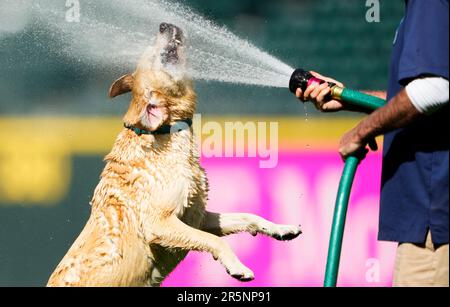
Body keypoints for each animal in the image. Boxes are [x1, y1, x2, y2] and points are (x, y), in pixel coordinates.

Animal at [46, 22, 302, 288]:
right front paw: (238, 267)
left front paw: (281, 228)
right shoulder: (160, 222)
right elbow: (215, 240)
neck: (164, 134)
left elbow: (247, 216)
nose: (164, 24)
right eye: (154, 56)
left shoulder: (198, 215)